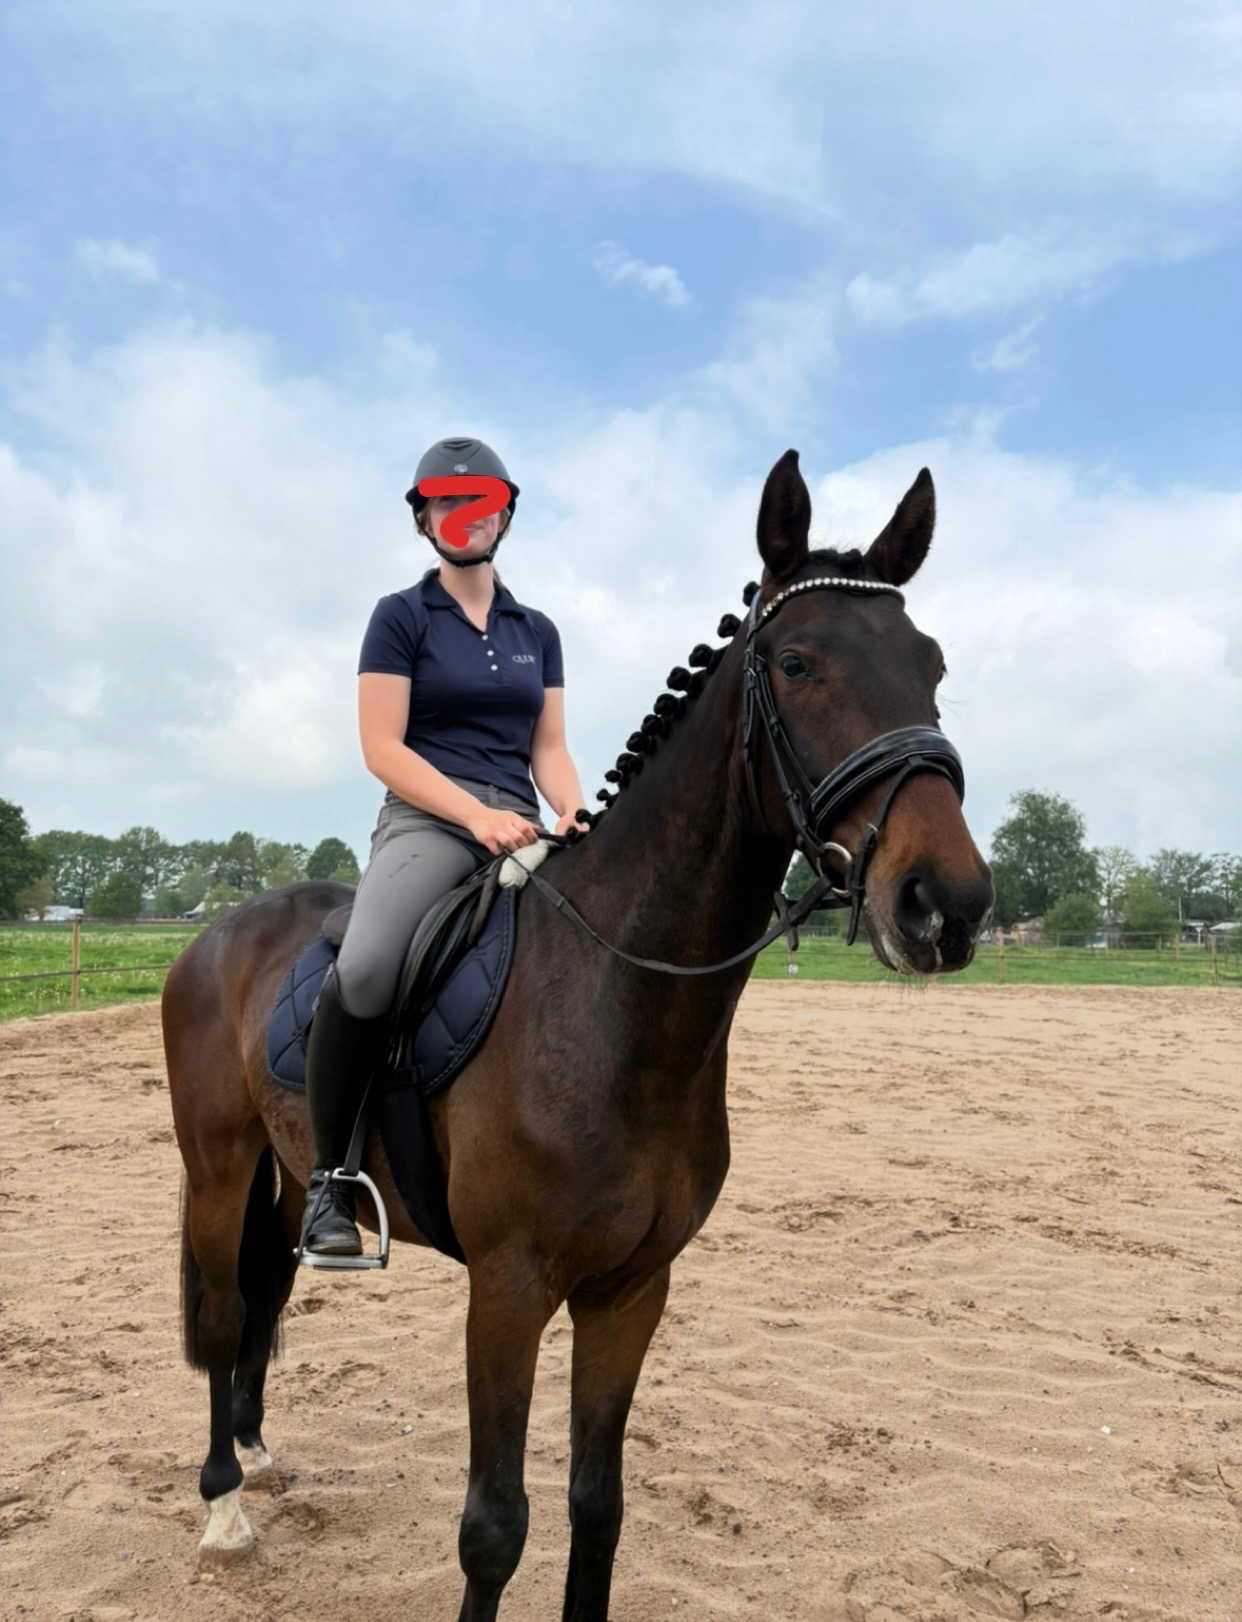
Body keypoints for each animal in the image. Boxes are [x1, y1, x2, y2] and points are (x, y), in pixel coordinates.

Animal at [162, 448, 993, 1621]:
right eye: (796, 662)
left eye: (933, 664)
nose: (947, 905)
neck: (618, 1009)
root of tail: (220, 932)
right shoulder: (509, 1289)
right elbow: (493, 1526)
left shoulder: (630, 1290)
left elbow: (597, 1505)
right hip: (219, 1163)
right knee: (229, 1304)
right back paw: (224, 1504)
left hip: (285, 1173)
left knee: (267, 1291)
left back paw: (255, 1449)